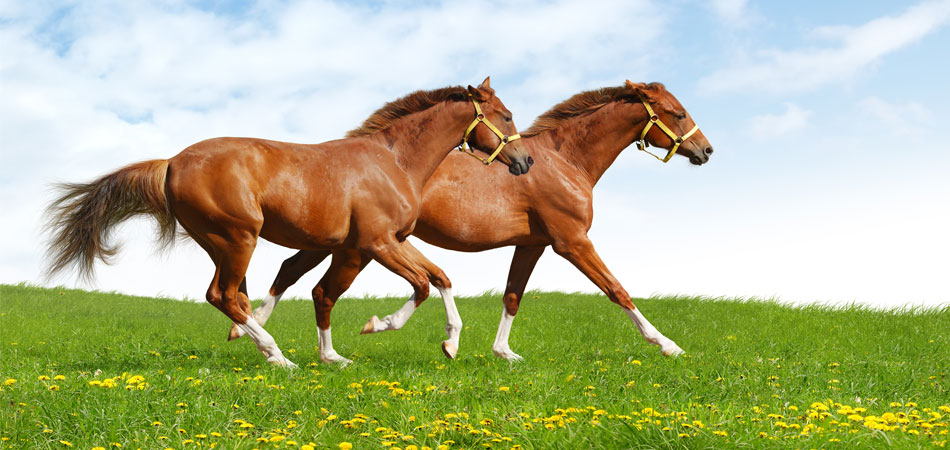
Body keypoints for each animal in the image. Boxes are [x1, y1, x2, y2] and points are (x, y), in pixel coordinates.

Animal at [44, 77, 532, 367]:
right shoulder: (375, 244)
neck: (393, 161)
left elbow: (441, 277)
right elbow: (420, 286)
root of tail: (171, 163)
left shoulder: (392, 239)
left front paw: (450, 343)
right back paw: (278, 356)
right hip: (239, 238)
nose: (525, 161)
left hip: (221, 243)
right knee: (223, 295)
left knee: (235, 297)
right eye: (506, 115)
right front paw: (377, 325)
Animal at [232, 80, 712, 360]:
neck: (565, 161)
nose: (706, 150)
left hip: (338, 242)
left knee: (292, 272)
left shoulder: (532, 244)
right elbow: (617, 289)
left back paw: (250, 331)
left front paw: (502, 352)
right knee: (314, 285)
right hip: (356, 248)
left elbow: (513, 296)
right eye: (678, 113)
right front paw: (668, 345)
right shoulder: (572, 241)